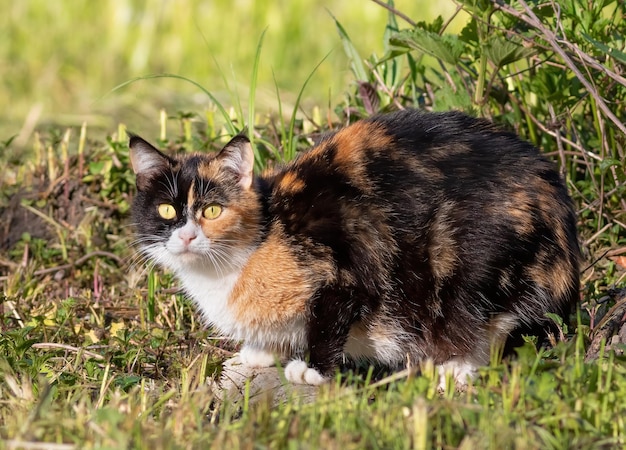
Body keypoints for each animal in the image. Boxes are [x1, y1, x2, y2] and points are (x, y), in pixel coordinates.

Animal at [128, 109, 580, 386]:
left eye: (213, 210)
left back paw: (453, 367)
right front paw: (256, 354)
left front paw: (312, 371)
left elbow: (328, 320)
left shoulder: (342, 265)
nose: (187, 236)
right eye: (167, 209)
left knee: (478, 323)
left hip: (467, 263)